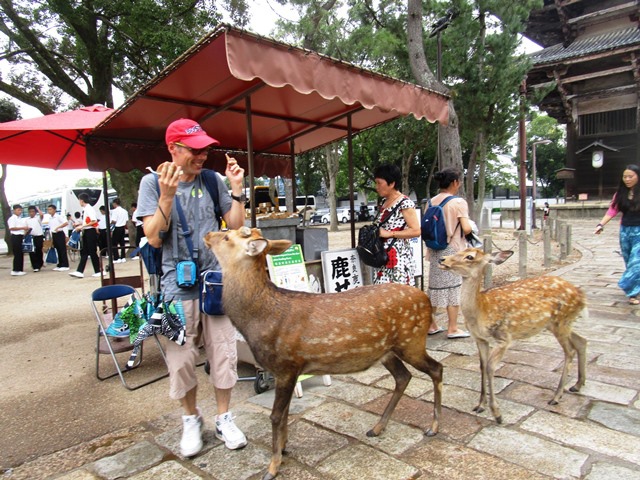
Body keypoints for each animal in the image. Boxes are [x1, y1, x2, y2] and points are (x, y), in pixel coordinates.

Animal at [202, 228, 442, 480]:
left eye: (227, 237)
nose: (207, 235)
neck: (258, 321)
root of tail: (427, 300)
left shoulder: (286, 364)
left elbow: (276, 415)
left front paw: (272, 467)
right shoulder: (289, 370)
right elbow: (285, 412)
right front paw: (284, 448)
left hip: (412, 341)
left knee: (436, 369)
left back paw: (433, 428)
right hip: (388, 351)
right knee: (403, 377)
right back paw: (377, 428)